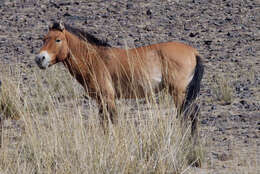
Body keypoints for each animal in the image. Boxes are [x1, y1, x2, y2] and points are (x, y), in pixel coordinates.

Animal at [35, 21, 204, 139]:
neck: (94, 59)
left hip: (178, 93)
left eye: (58, 40)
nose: (40, 59)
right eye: (44, 39)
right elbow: (104, 123)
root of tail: (193, 51)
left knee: (188, 114)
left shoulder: (108, 98)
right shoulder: (101, 100)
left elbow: (112, 121)